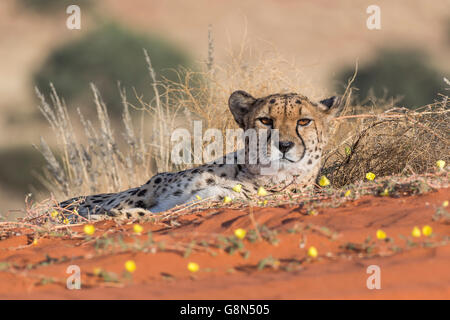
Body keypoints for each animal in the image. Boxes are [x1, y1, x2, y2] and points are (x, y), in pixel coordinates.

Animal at [59, 91, 342, 219]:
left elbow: (149, 215)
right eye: (265, 120)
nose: (283, 145)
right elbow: (121, 201)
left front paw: (110, 216)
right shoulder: (155, 183)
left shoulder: (206, 203)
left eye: (304, 121)